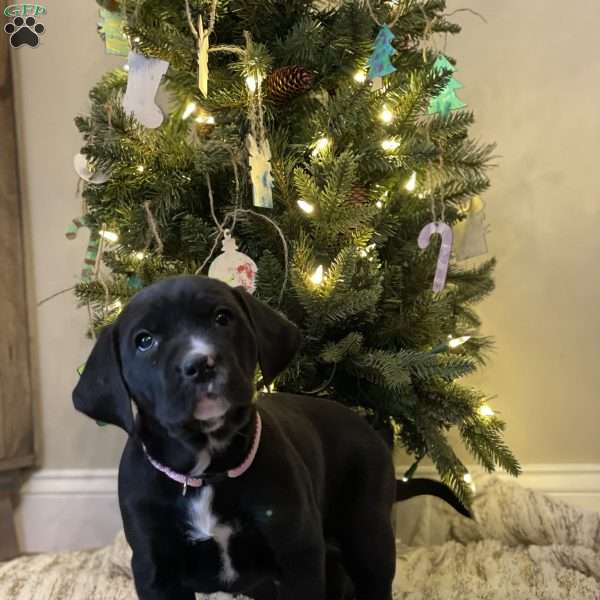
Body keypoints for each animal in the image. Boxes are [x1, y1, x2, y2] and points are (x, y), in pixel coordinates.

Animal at [74, 278, 454, 600]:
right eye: (144, 341)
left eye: (222, 317)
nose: (201, 363)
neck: (207, 473)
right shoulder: (156, 570)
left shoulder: (298, 554)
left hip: (368, 532)